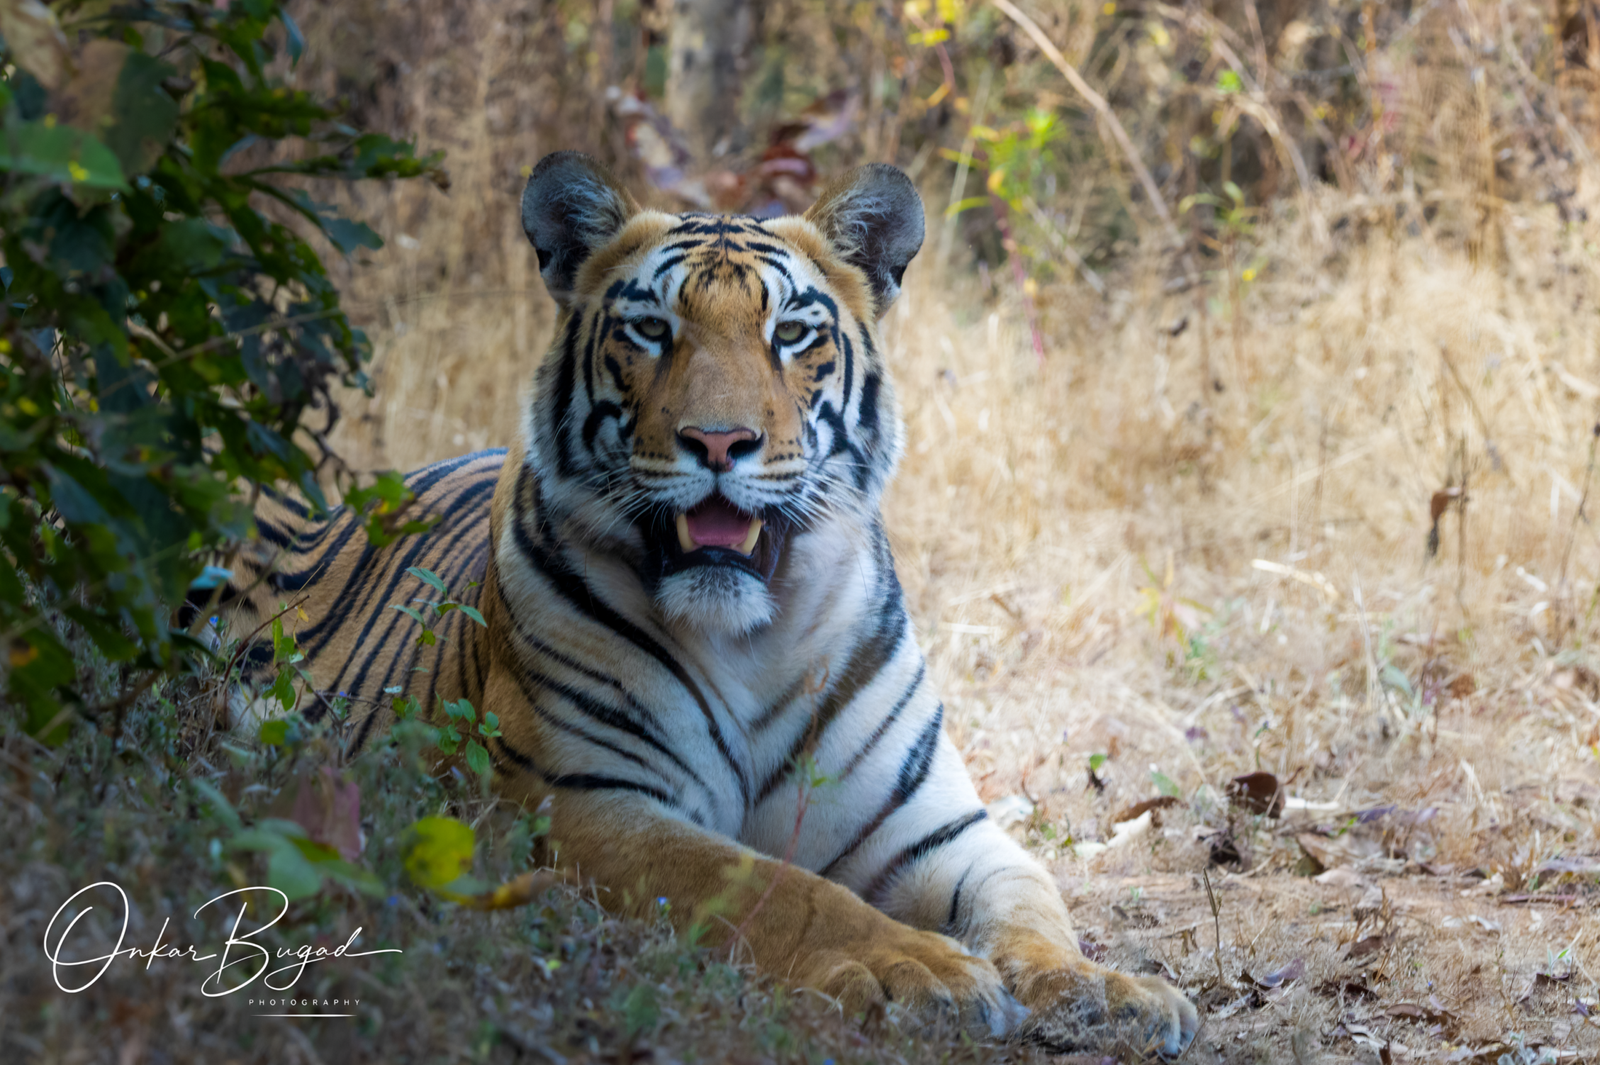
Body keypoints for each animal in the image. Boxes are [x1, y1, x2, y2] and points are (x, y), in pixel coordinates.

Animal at [220, 151, 1199, 1055]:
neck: (755, 634)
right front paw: (915, 968)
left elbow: (1031, 901)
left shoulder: (932, 826)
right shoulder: (588, 796)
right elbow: (776, 884)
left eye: (792, 332)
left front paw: (1104, 990)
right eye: (651, 329)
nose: (720, 441)